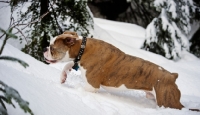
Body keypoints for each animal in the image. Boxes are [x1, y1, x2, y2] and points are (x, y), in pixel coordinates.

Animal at [43, 31, 198, 111]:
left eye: (52, 48)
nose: (44, 48)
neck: (82, 48)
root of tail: (172, 76)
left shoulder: (92, 86)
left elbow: (81, 86)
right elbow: (68, 64)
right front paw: (63, 77)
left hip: (167, 102)